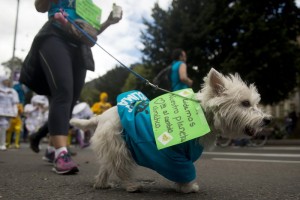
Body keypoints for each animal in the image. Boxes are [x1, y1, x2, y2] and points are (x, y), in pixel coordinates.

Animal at [70, 68, 272, 193]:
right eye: (245, 103)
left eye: (254, 103)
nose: (268, 119)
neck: (204, 115)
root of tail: (100, 117)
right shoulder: (171, 154)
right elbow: (183, 170)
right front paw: (187, 188)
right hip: (120, 148)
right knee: (120, 169)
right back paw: (132, 186)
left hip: (113, 147)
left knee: (106, 167)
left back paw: (102, 184)